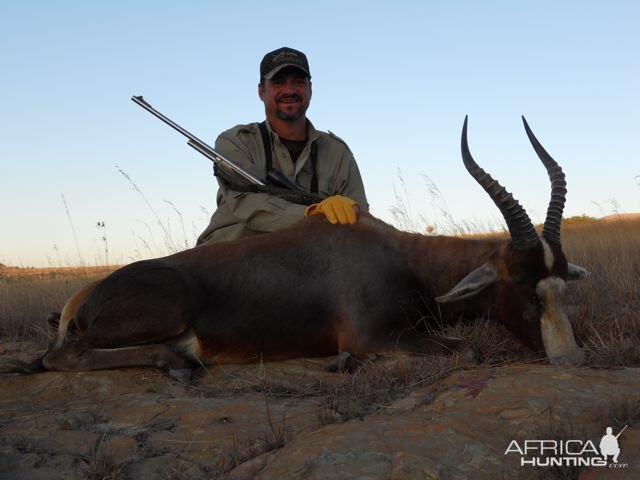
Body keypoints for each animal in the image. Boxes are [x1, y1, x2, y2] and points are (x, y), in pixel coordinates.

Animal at [0, 117, 588, 378]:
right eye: (525, 288)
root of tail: (82, 296)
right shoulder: (371, 335)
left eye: (562, 286)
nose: (570, 360)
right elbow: (467, 351)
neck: (399, 258)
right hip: (162, 312)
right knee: (59, 356)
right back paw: (181, 360)